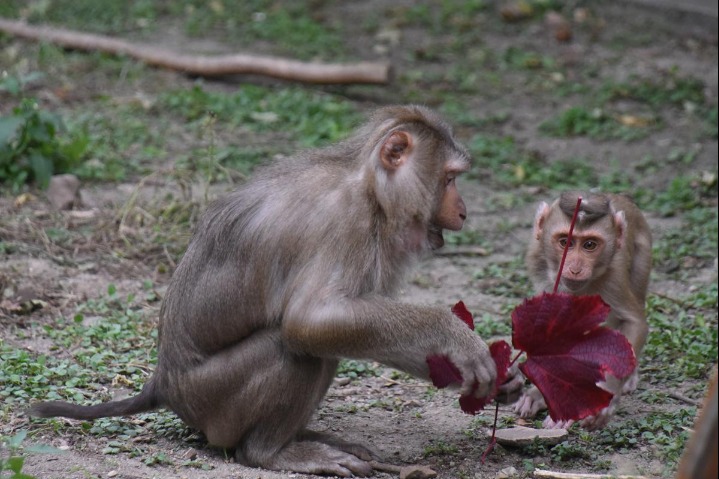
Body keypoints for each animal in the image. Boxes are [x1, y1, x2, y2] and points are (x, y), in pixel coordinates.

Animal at [512, 191, 652, 432]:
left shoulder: (615, 276)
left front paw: (602, 396)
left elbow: (633, 323)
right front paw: (543, 393)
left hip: (643, 249)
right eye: (564, 242)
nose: (575, 268)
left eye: (589, 245)